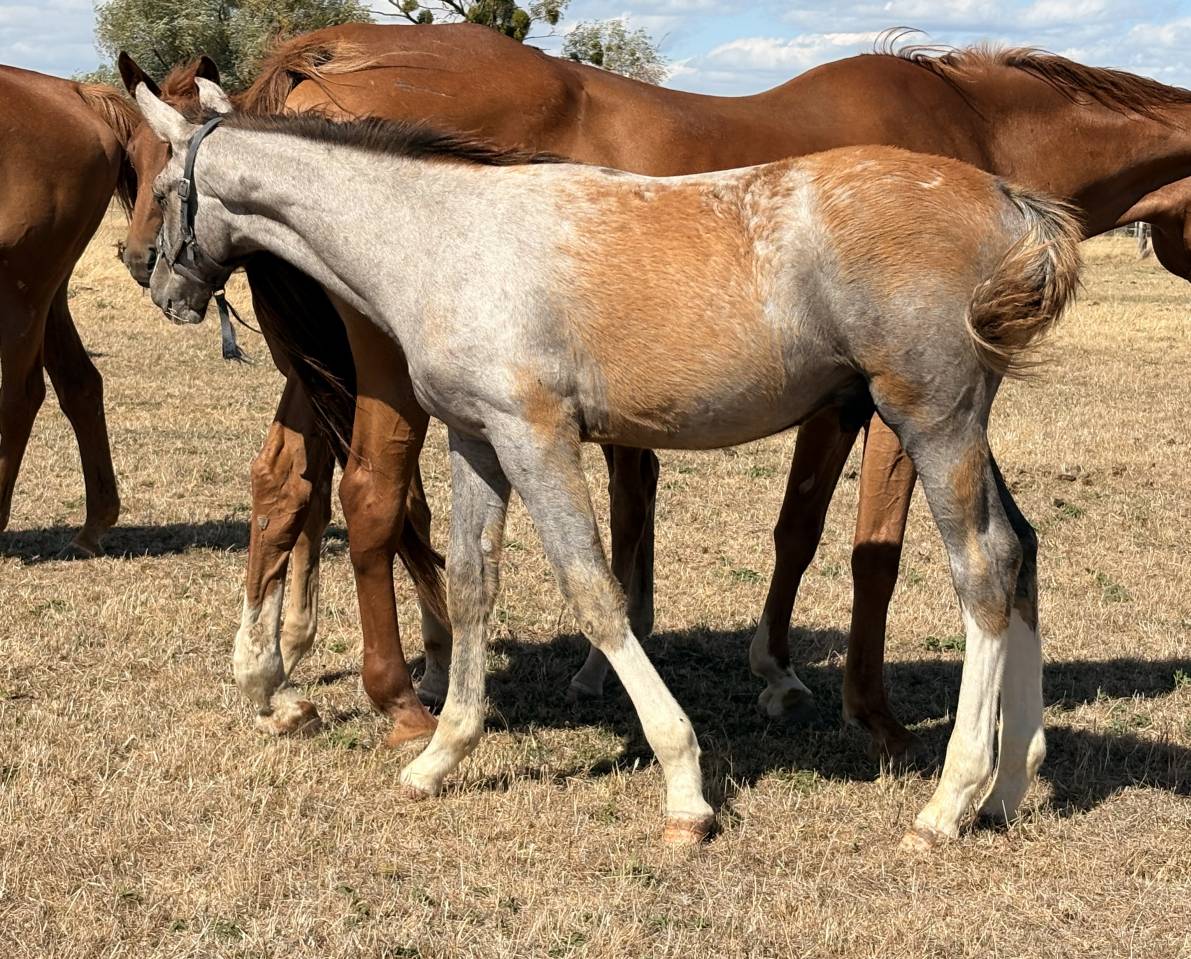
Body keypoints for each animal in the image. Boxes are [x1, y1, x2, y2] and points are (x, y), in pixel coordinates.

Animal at [0, 66, 139, 557]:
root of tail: (72, 92)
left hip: (21, 292)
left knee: (21, 396)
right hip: (49, 294)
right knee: (80, 383)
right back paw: (94, 524)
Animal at [118, 25, 1191, 759]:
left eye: (160, 177)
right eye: (130, 166)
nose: (144, 270)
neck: (979, 136)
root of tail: (323, 51)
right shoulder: (868, 409)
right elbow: (854, 548)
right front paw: (854, 706)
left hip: (324, 372)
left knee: (290, 486)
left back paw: (285, 676)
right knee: (372, 495)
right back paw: (400, 695)